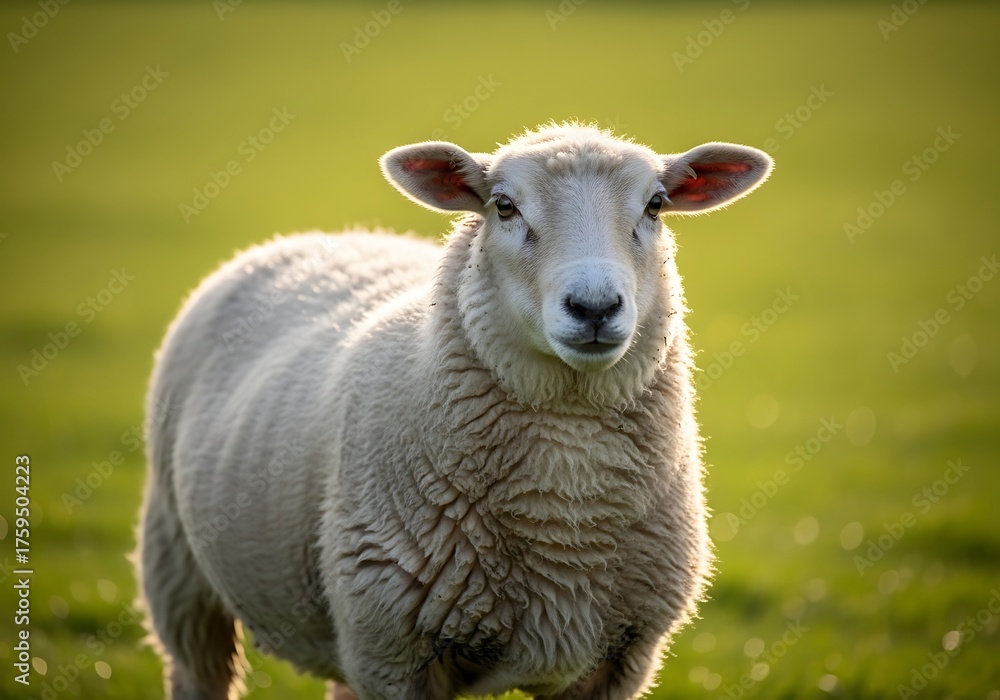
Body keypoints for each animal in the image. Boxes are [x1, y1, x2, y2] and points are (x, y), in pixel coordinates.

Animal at [135, 122, 773, 700]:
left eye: (656, 204)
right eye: (504, 206)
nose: (594, 307)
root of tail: (319, 236)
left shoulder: (622, 659)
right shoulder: (395, 653)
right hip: (179, 568)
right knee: (196, 670)